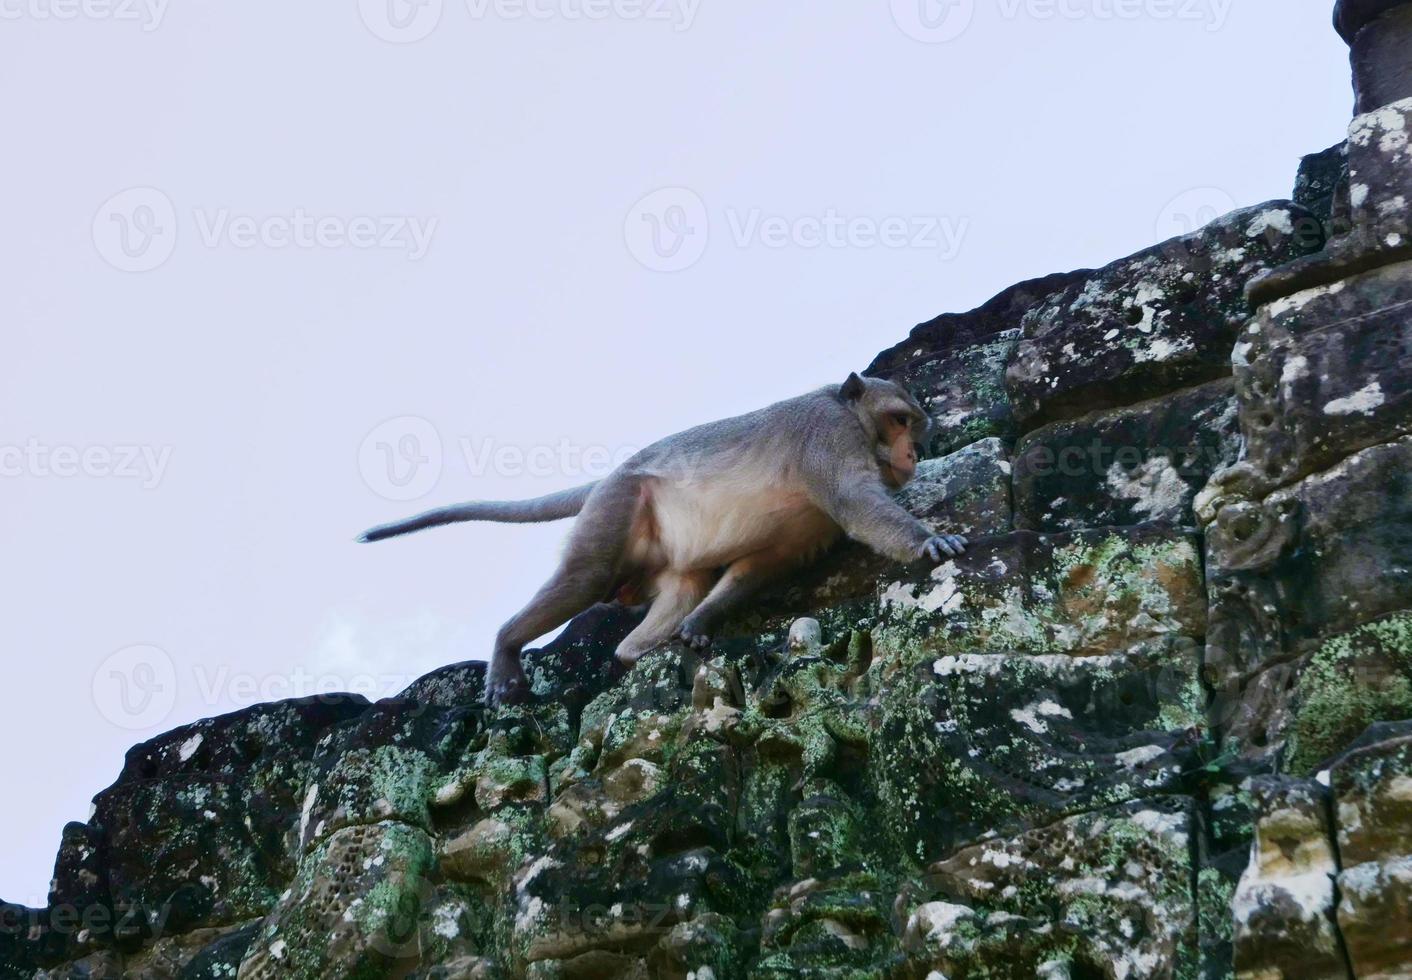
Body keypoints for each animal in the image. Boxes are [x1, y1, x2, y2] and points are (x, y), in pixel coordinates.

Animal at [358, 375, 965, 706]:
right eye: (899, 420)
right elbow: (857, 503)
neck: (848, 413)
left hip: (664, 555)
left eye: (917, 426)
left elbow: (764, 563)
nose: (912, 454)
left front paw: (702, 622)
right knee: (584, 578)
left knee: (683, 586)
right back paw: (507, 647)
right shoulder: (826, 438)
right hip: (617, 509)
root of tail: (612, 475)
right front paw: (928, 544)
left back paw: (642, 648)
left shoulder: (807, 528)